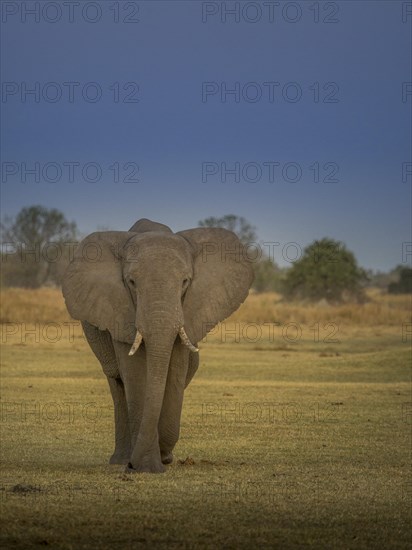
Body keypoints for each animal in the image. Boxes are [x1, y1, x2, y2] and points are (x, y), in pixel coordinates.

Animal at [62, 220, 253, 474]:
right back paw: (121, 459)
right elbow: (134, 374)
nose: (134, 465)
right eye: (132, 283)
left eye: (185, 282)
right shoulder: (120, 311)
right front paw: (147, 466)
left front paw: (158, 459)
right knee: (117, 382)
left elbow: (175, 372)